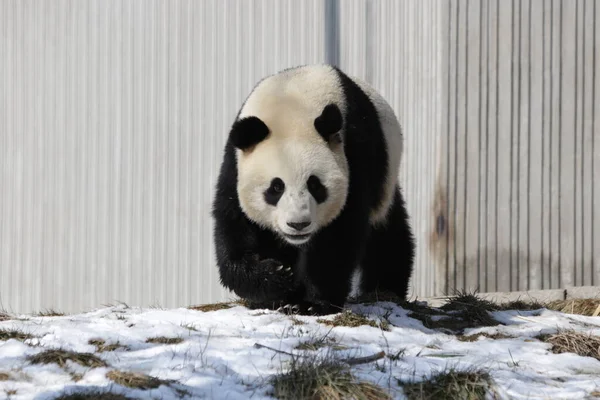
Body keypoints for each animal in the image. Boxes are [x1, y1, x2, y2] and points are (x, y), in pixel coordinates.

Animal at [213, 64, 414, 314]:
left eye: (315, 185)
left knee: (386, 235)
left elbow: (339, 233)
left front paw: (313, 302)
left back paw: (385, 288)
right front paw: (276, 279)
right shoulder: (235, 164)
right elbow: (235, 225)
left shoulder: (354, 154)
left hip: (385, 179)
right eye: (276, 187)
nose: (298, 224)